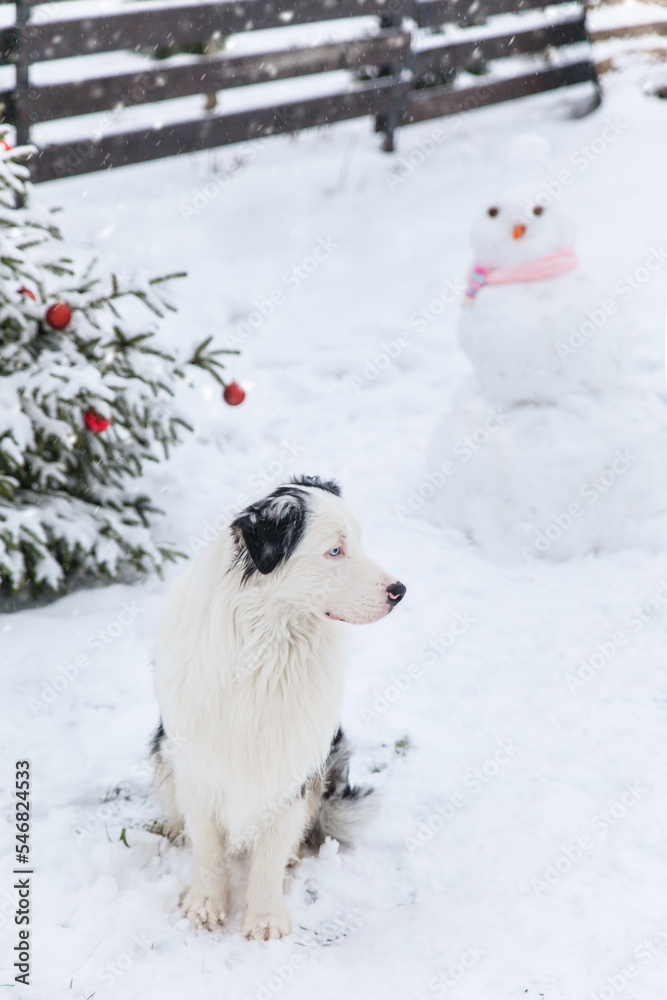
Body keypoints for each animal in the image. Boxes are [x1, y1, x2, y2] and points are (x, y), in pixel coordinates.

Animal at [152, 476, 408, 936]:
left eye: (359, 541)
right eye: (334, 550)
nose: (400, 591)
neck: (268, 647)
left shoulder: (291, 763)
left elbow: (270, 850)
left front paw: (265, 917)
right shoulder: (198, 762)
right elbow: (209, 847)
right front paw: (204, 904)